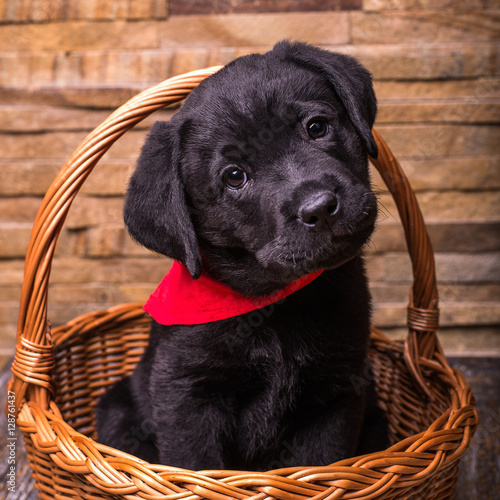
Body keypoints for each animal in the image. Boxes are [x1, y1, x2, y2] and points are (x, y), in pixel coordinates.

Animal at [97, 41, 386, 470]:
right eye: (235, 176)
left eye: (317, 127)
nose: (319, 207)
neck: (274, 305)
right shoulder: (185, 393)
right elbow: (197, 468)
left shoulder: (340, 387)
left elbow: (320, 462)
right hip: (117, 411)